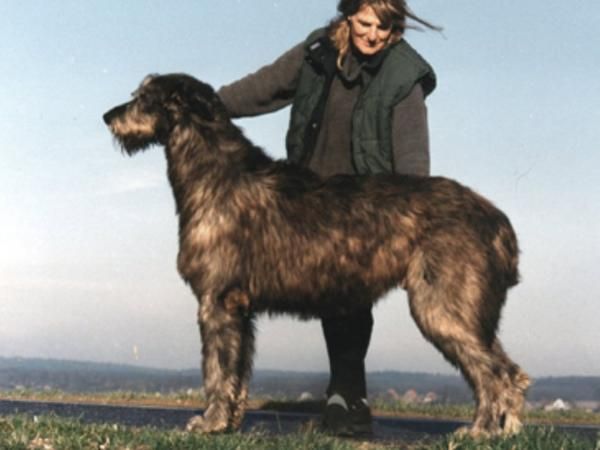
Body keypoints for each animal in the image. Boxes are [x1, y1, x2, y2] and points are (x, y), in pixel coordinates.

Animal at [103, 73, 530, 437]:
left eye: (143, 96)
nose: (108, 116)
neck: (217, 174)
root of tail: (497, 219)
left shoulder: (218, 301)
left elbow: (216, 370)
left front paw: (210, 422)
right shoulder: (241, 309)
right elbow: (237, 372)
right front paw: (230, 421)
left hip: (442, 307)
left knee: (495, 372)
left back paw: (480, 430)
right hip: (467, 309)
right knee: (507, 369)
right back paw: (504, 429)